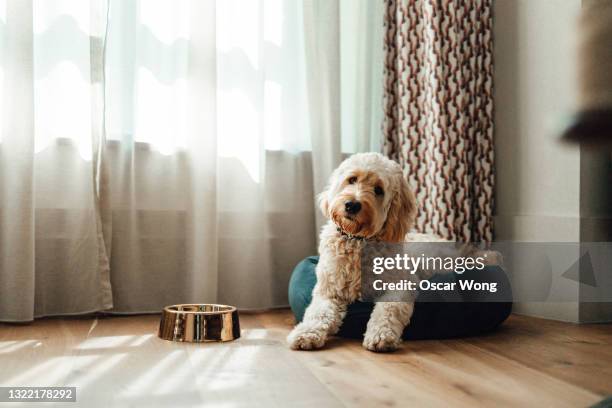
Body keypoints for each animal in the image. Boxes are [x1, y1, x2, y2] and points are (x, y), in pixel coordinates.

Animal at [286, 151, 416, 352]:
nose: (352, 205)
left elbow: (388, 310)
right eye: (352, 179)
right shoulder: (329, 290)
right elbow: (318, 313)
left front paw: (381, 335)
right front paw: (306, 332)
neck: (357, 241)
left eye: (378, 190)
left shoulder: (400, 286)